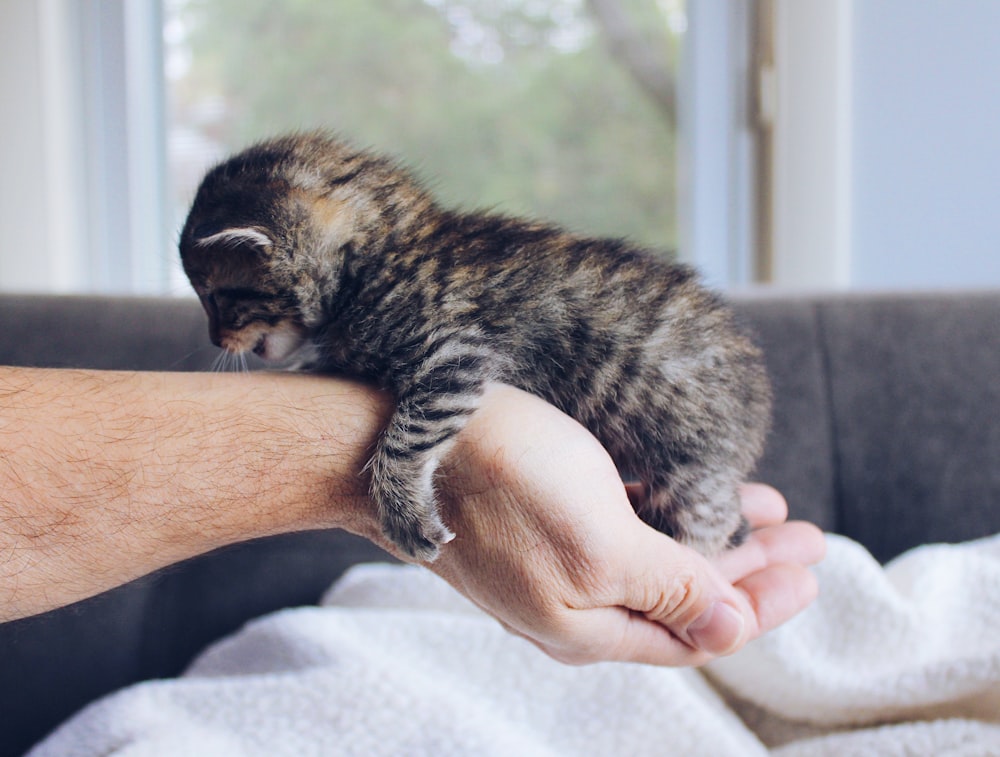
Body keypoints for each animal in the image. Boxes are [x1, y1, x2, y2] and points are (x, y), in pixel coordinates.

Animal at [182, 133, 772, 560]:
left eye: (216, 297)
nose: (213, 337)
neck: (380, 257)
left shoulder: (454, 353)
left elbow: (406, 434)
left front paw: (403, 509)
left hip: (694, 464)